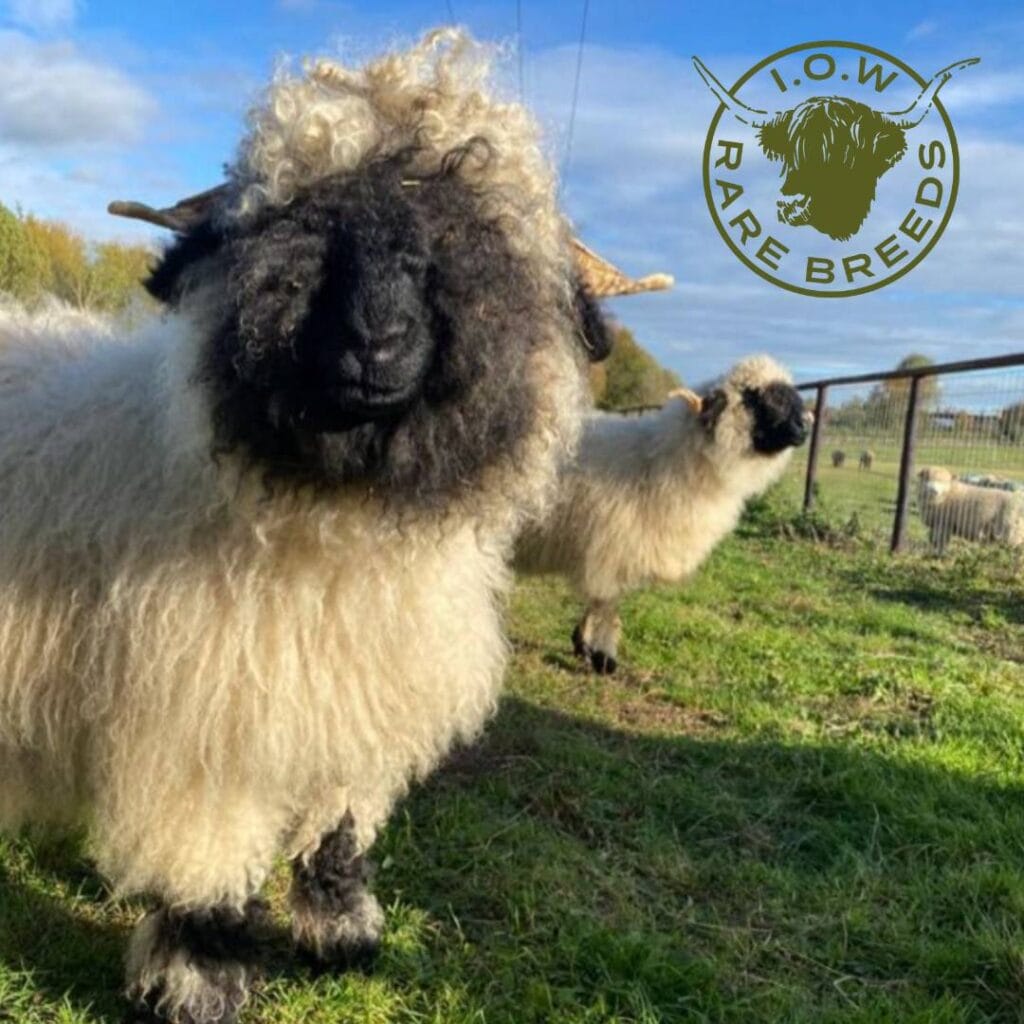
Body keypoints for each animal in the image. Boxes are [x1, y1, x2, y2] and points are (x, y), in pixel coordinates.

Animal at [0, 29, 613, 1024]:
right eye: (299, 224)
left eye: (468, 233)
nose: (375, 341)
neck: (336, 521)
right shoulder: (205, 724)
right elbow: (206, 875)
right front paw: (200, 983)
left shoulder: (347, 703)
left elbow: (339, 832)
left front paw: (342, 935)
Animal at [516, 355, 810, 674]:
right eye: (754, 396)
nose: (804, 425)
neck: (660, 461)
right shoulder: (611, 548)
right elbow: (606, 604)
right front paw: (601, 655)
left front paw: (584, 644)